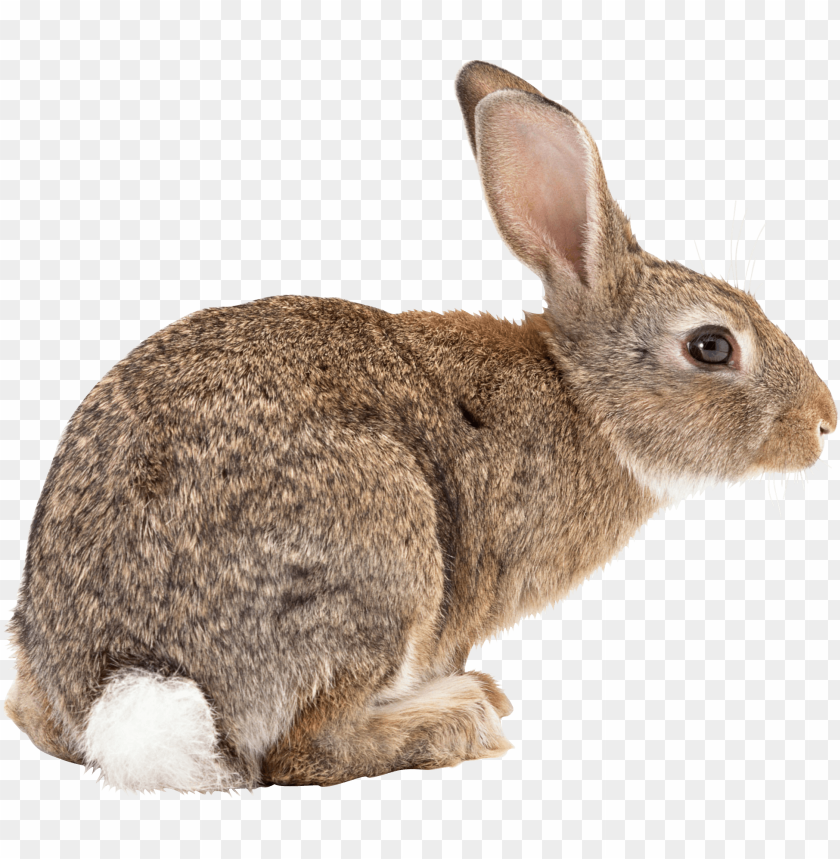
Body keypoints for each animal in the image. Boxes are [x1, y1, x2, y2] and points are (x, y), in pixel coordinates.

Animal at [4, 63, 832, 796]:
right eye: (712, 346)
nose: (823, 421)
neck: (582, 396)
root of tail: (123, 685)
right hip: (383, 550)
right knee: (303, 750)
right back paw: (457, 717)